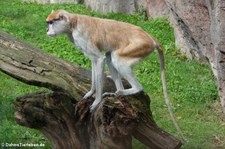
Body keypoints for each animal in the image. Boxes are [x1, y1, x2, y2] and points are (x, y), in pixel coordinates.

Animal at [45, 9, 186, 141]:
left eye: (51, 22)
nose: (47, 30)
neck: (73, 23)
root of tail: (149, 37)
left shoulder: (81, 36)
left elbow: (99, 59)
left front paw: (96, 101)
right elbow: (94, 61)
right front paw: (90, 92)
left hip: (140, 47)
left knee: (117, 58)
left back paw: (128, 90)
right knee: (109, 56)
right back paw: (118, 92)